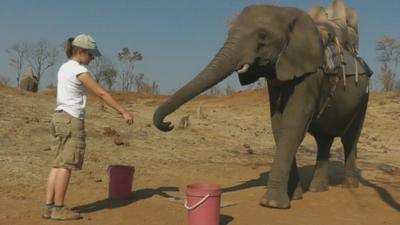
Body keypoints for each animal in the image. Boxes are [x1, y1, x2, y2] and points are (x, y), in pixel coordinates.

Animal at [153, 3, 372, 209]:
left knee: (350, 138)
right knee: (324, 140)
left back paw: (349, 186)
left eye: (262, 36)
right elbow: (278, 124)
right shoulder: (277, 76)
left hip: (364, 96)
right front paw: (295, 197)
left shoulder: (311, 74)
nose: (168, 124)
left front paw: (273, 204)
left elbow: (293, 122)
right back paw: (317, 190)